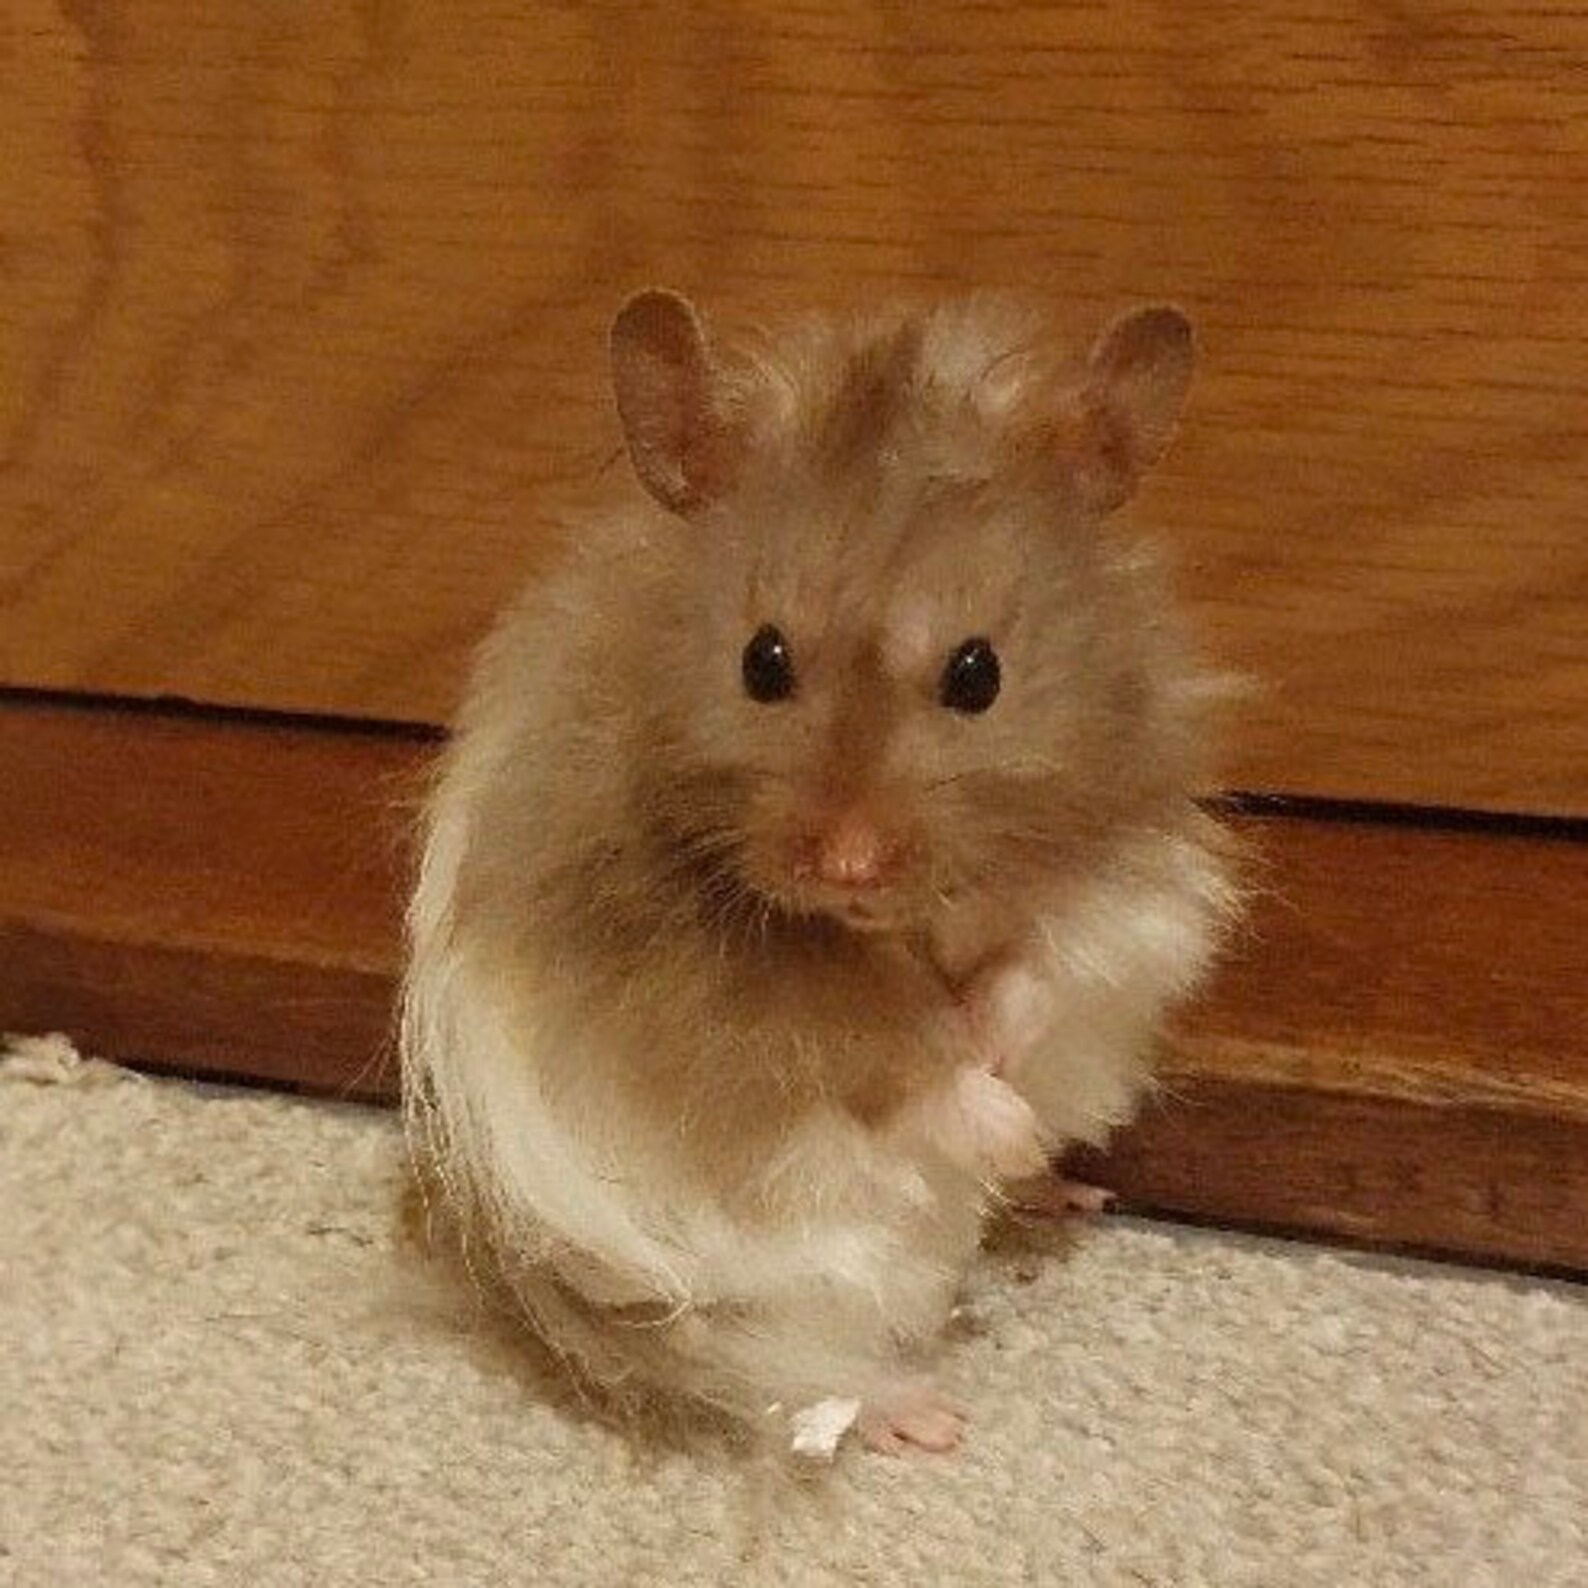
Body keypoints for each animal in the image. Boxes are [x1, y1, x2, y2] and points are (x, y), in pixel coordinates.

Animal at [400, 289, 1240, 1458]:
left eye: (978, 672)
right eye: (763, 661)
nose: (848, 862)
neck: (901, 921)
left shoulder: (1131, 891)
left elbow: (1044, 964)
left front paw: (999, 1056)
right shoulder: (736, 1016)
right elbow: (892, 1065)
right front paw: (995, 1107)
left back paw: (1058, 1191)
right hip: (727, 1297)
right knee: (775, 1369)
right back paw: (927, 1411)